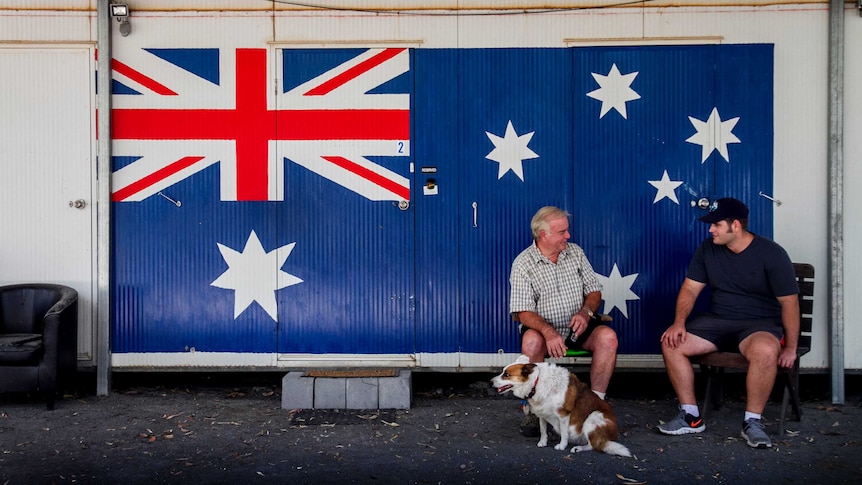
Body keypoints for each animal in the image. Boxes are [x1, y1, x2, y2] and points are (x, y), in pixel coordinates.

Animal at [496, 354, 632, 456]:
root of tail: (615, 433)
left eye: (507, 374)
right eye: (503, 372)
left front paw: (562, 445)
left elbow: (564, 433)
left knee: (595, 445)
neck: (536, 382)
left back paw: (579, 448)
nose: (491, 382)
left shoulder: (563, 415)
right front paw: (543, 442)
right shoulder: (542, 413)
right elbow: (543, 430)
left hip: (593, 417)